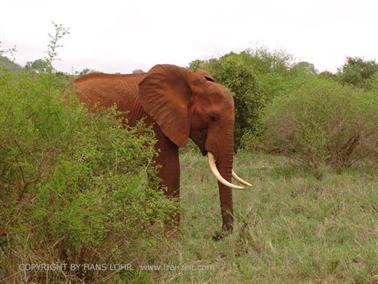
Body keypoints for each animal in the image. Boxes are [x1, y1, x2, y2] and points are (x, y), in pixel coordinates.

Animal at [70, 64, 251, 237]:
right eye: (212, 118)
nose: (217, 234)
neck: (189, 80)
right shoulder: (154, 119)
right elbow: (170, 170)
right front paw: (172, 237)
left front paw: (145, 229)